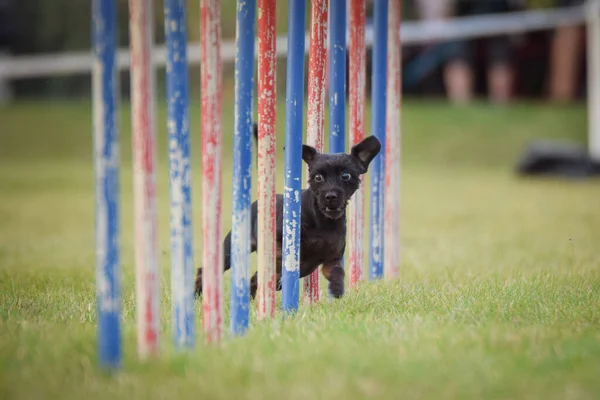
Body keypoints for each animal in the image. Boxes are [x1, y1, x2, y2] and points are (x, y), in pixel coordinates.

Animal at [195, 126, 380, 298]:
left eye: (346, 176)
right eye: (318, 177)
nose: (330, 196)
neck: (322, 222)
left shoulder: (332, 259)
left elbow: (337, 273)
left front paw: (336, 289)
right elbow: (280, 252)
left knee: (255, 279)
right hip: (233, 248)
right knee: (205, 270)